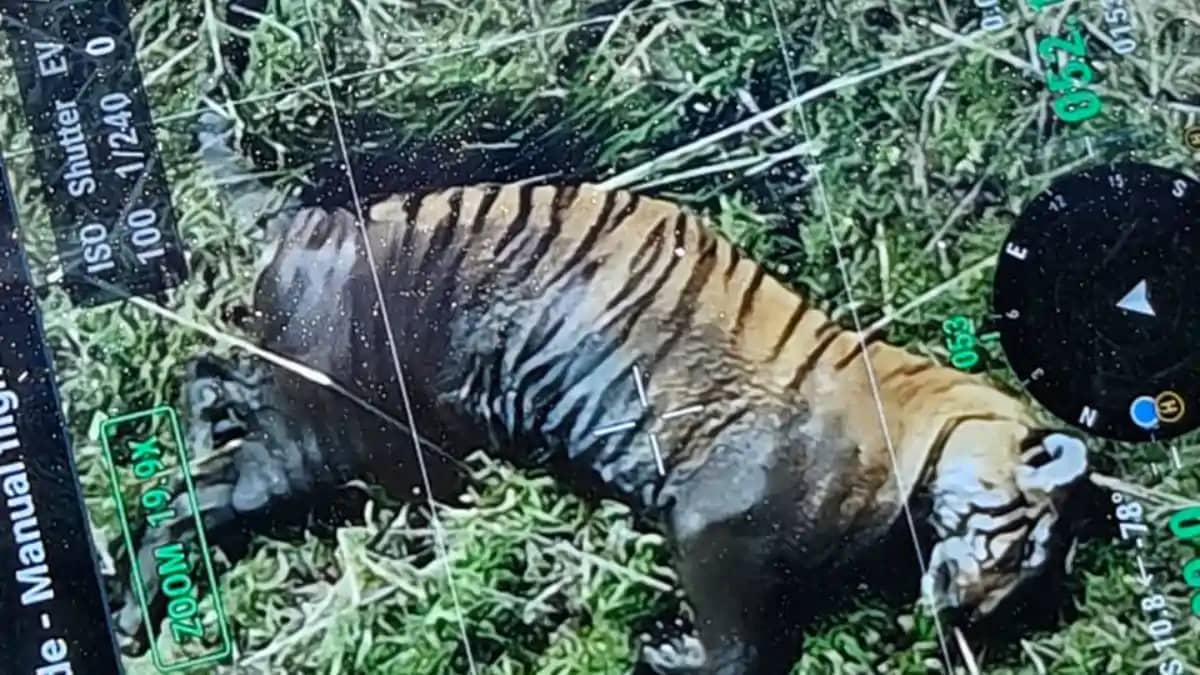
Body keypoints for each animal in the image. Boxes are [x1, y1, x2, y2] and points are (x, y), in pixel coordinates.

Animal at [114, 177, 1097, 675]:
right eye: (1026, 548)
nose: (966, 615)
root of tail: (311, 221)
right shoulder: (714, 522)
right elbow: (741, 646)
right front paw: (665, 651)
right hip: (338, 429)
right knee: (203, 490)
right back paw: (133, 609)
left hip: (295, 384)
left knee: (205, 381)